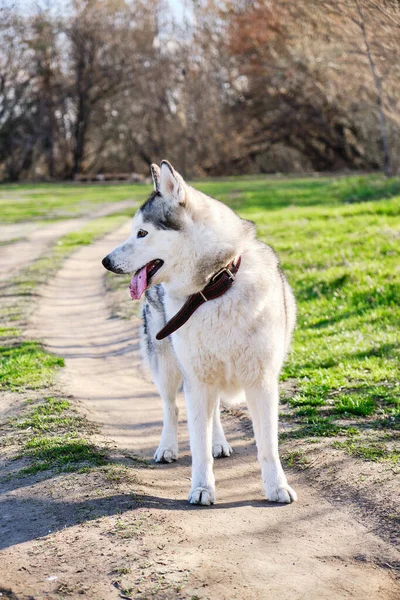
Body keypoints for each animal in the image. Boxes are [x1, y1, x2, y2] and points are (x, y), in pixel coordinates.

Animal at [102, 161, 296, 506]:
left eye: (142, 233)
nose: (106, 261)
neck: (215, 287)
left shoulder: (261, 382)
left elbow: (267, 446)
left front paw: (277, 487)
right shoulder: (196, 380)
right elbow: (198, 445)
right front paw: (202, 488)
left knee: (213, 411)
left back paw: (219, 442)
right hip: (168, 366)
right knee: (171, 408)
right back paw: (167, 447)